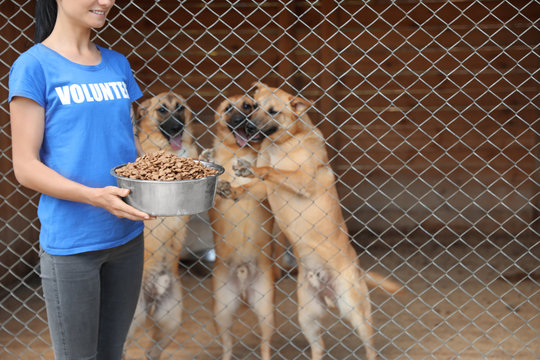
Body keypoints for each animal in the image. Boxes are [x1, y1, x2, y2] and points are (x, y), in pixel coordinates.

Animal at [230, 83, 402, 360]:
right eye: (253, 106)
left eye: (273, 111)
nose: (247, 127)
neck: (282, 144)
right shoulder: (265, 191)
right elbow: (248, 188)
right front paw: (230, 189)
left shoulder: (302, 181)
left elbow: (271, 170)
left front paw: (251, 169)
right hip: (307, 316)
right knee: (318, 345)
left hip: (355, 311)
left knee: (370, 346)